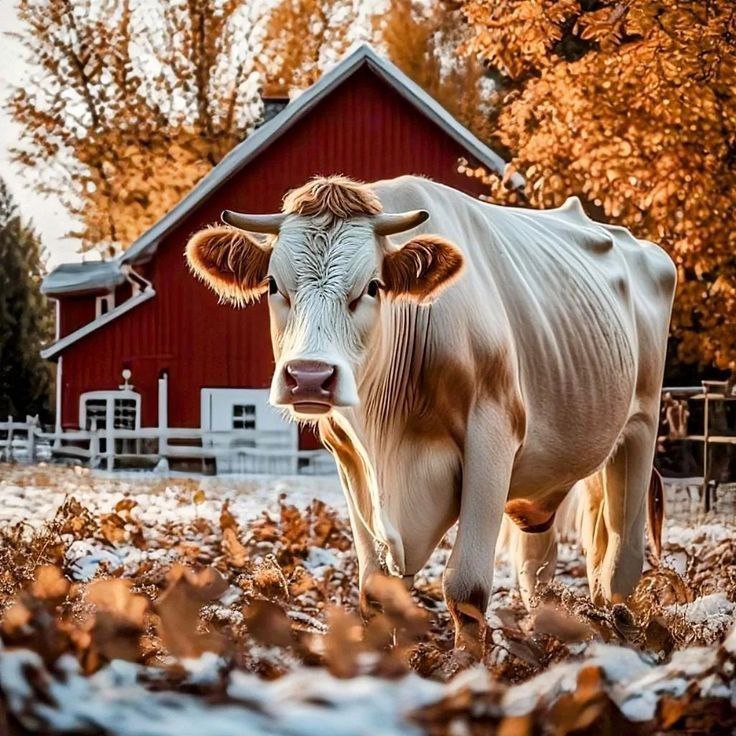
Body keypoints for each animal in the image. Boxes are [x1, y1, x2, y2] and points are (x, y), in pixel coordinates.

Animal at [187, 175, 676, 648]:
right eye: (273, 285)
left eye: (372, 286)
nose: (309, 376)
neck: (388, 435)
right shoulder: (347, 455)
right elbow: (378, 590)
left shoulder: (492, 436)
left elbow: (467, 591)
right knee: (539, 568)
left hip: (640, 428)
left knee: (619, 562)